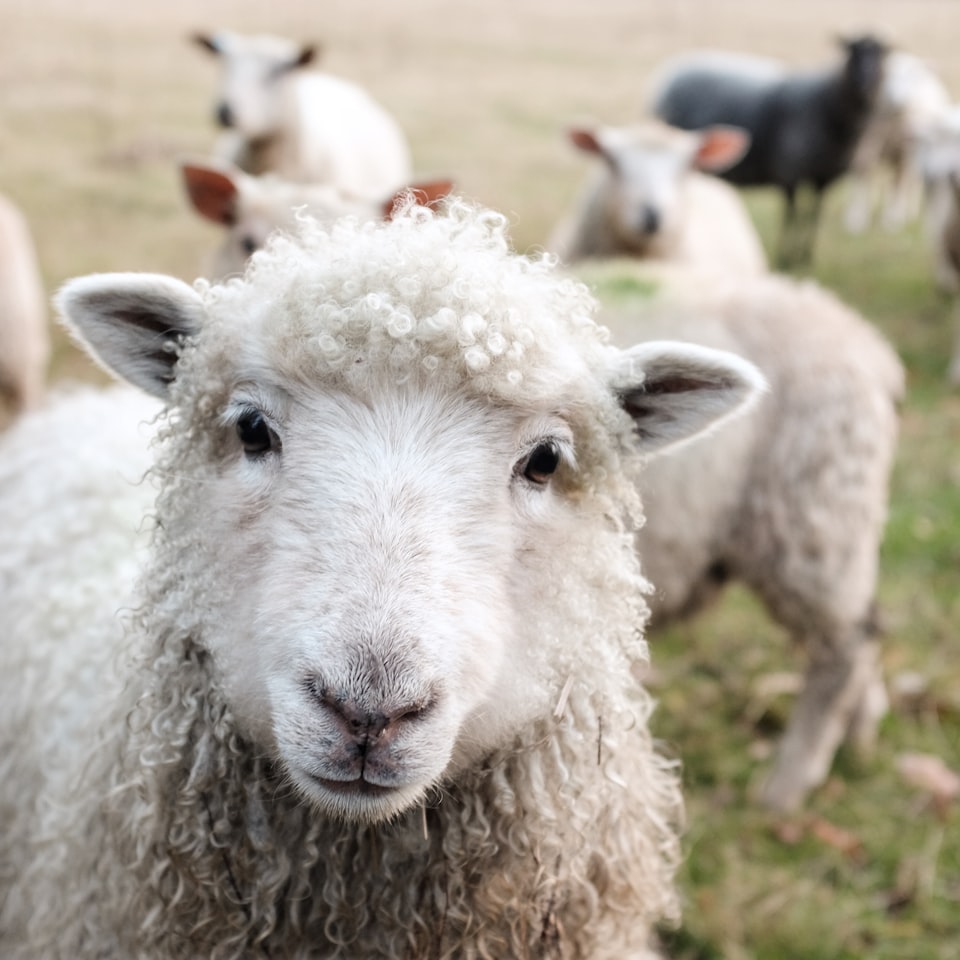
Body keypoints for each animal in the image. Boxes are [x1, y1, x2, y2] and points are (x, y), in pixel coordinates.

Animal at [651, 36, 889, 268]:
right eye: (853, 51)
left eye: (881, 54)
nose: (865, 82)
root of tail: (672, 71)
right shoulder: (790, 173)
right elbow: (792, 216)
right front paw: (787, 257)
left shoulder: (823, 178)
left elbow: (813, 216)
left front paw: (805, 257)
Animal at [844, 51, 952, 233]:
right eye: (890, 76)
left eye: (914, 78)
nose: (898, 98)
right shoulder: (868, 139)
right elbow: (864, 171)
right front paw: (856, 220)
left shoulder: (908, 150)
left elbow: (902, 181)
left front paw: (894, 219)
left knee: (909, 180)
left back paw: (905, 213)